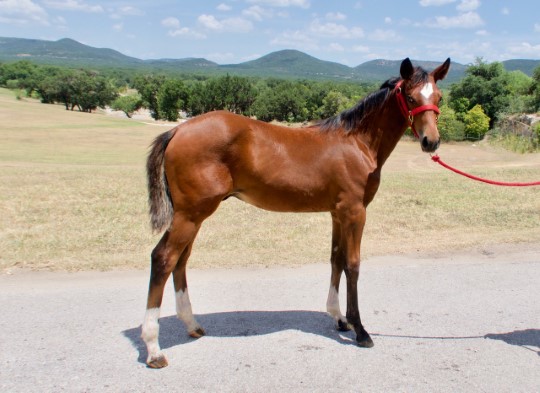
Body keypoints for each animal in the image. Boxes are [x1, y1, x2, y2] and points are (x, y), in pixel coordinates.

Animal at [140, 57, 452, 368]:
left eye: (438, 97)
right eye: (410, 97)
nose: (431, 141)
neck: (357, 143)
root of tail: (177, 130)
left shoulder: (337, 214)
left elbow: (336, 259)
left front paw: (339, 318)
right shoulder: (355, 213)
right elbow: (352, 264)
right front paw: (360, 330)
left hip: (194, 216)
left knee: (180, 261)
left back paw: (191, 325)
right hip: (190, 215)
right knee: (164, 259)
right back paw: (154, 349)